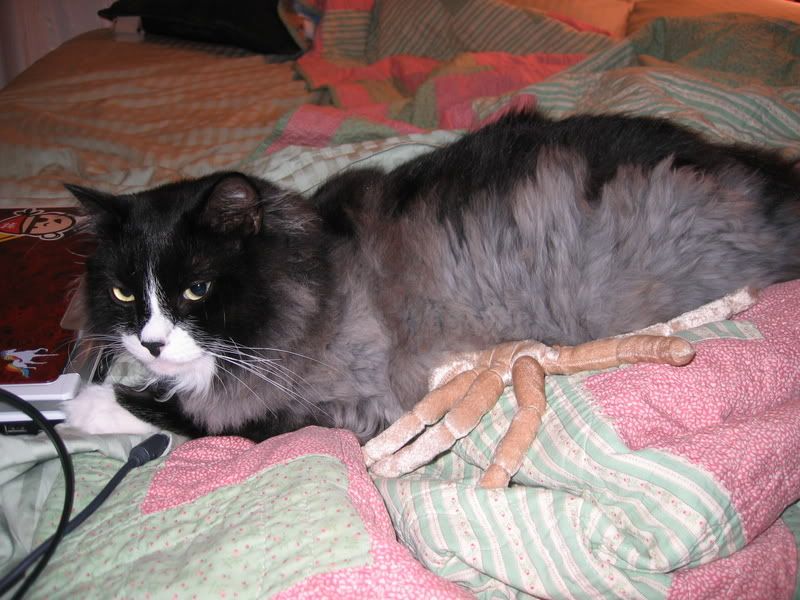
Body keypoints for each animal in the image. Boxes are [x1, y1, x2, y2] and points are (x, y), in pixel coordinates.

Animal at [63, 111, 800, 442]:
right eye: (125, 292)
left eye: (197, 289)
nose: (150, 341)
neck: (315, 274)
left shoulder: (318, 408)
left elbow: (182, 417)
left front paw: (85, 408)